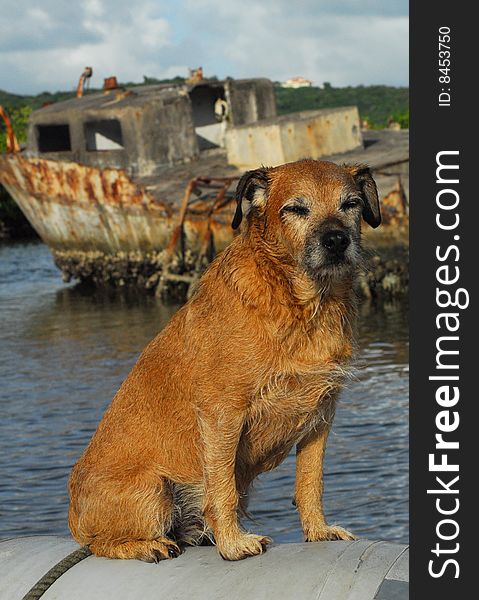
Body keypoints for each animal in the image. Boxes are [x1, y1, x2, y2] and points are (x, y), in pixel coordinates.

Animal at [68, 159, 382, 564]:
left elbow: (311, 482)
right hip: (153, 492)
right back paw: (147, 544)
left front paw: (318, 531)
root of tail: (73, 512)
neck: (301, 304)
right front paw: (233, 544)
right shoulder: (222, 414)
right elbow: (222, 488)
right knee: (98, 544)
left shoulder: (320, 416)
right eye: (296, 209)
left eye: (350, 204)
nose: (336, 240)